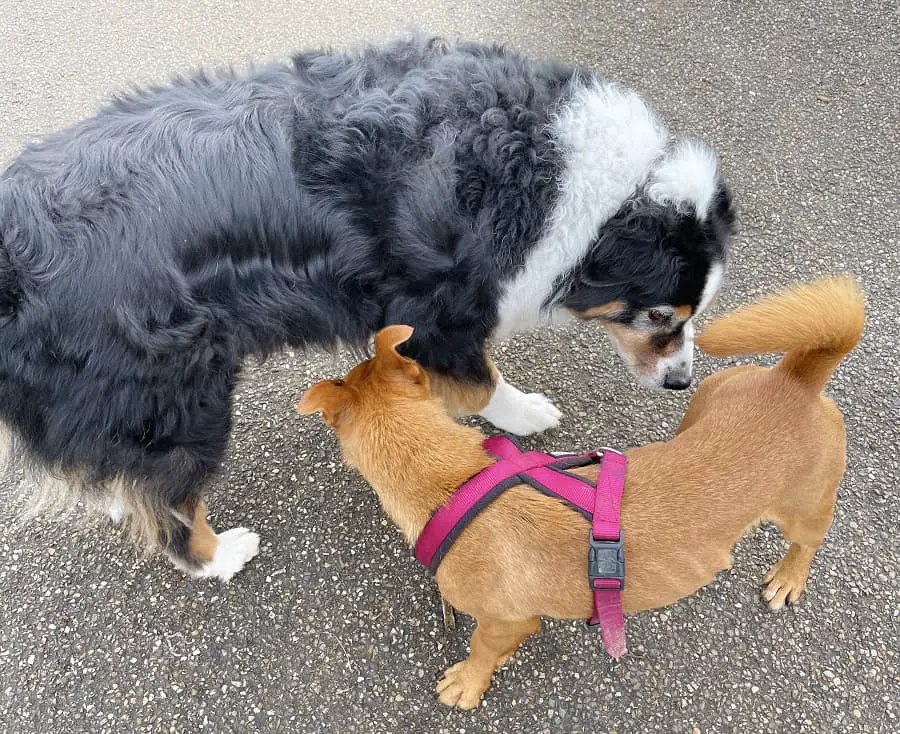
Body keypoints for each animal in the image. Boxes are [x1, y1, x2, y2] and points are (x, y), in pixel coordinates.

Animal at [0, 37, 732, 584]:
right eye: (660, 316)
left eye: (688, 312)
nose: (681, 383)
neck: (568, 179)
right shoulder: (440, 306)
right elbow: (480, 382)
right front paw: (523, 416)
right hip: (178, 388)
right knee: (173, 504)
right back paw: (219, 553)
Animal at [298, 276, 864, 708]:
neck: (456, 479)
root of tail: (798, 378)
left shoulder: (506, 620)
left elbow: (481, 649)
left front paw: (468, 682)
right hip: (699, 411)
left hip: (804, 507)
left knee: (808, 543)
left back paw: (788, 577)